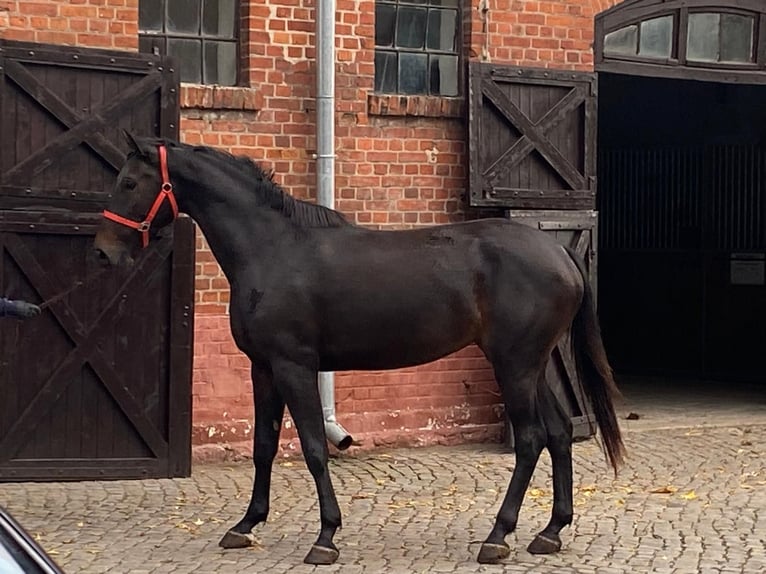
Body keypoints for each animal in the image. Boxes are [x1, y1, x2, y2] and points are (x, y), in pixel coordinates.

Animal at [93, 134, 628, 568]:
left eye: (129, 182)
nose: (102, 252)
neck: (273, 248)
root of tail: (560, 253)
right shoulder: (262, 368)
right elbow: (264, 445)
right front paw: (245, 525)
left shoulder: (294, 366)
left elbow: (312, 448)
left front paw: (326, 537)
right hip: (532, 365)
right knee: (559, 433)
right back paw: (550, 532)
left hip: (514, 365)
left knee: (531, 439)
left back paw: (498, 536)